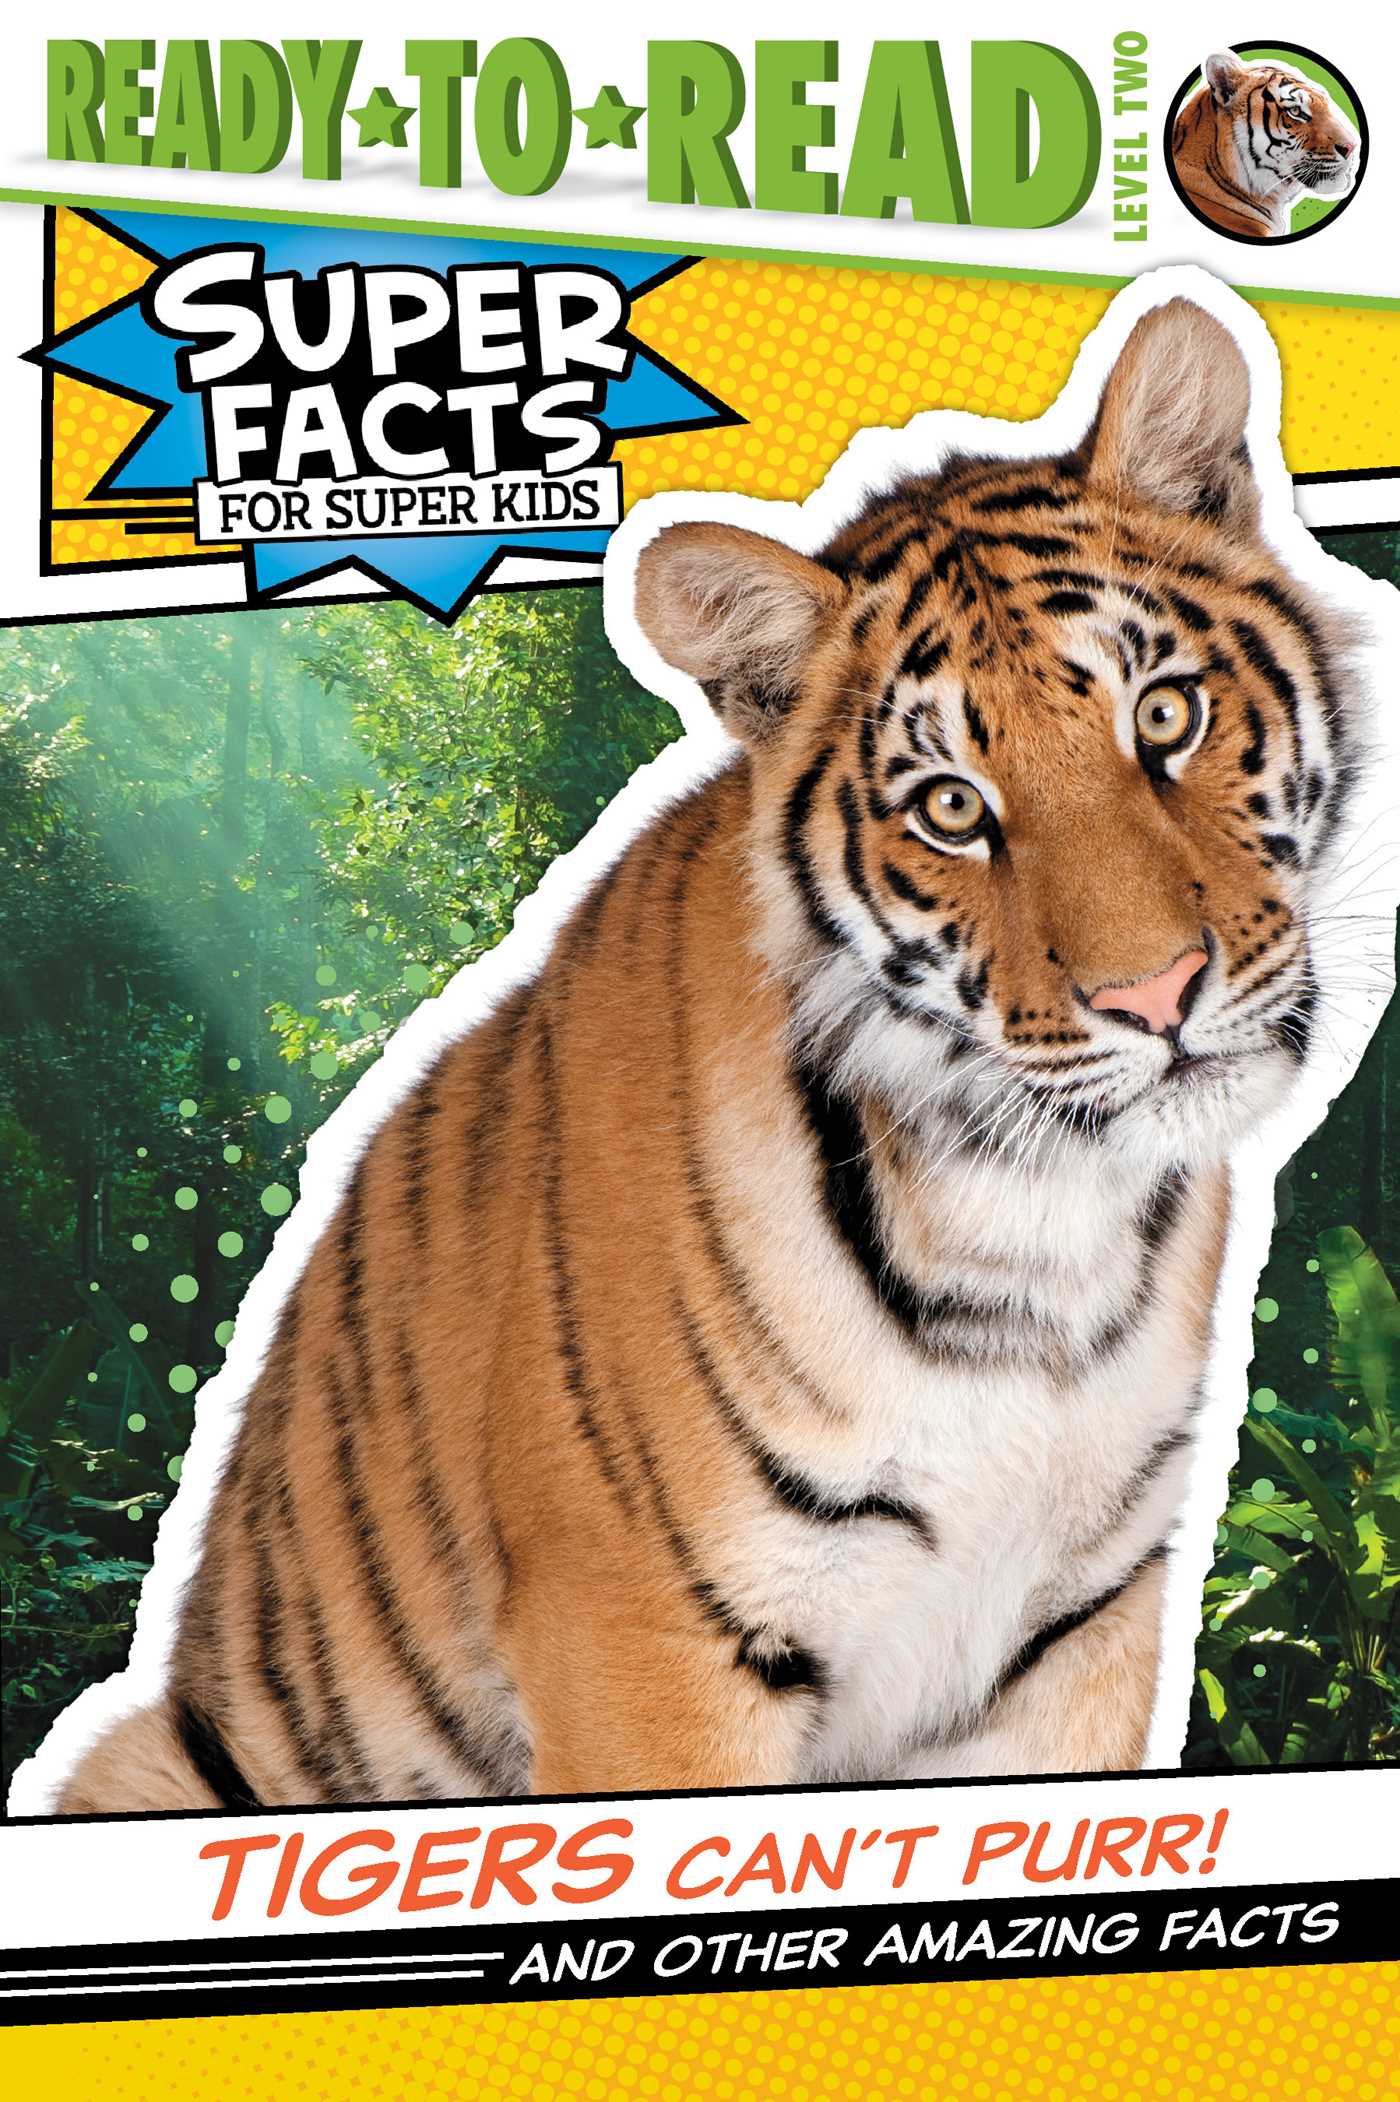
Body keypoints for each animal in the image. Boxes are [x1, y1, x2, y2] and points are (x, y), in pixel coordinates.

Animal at [39, 294, 1365, 1814]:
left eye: (1162, 715)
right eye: (951, 808)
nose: (1155, 993)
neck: (1029, 1227)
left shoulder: (1079, 1631)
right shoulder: (651, 1638)